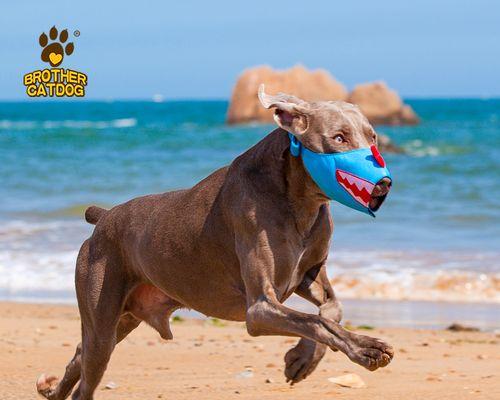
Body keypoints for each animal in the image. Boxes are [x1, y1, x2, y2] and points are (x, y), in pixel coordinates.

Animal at [36, 85, 394, 400]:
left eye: (373, 137)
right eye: (339, 138)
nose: (384, 184)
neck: (297, 198)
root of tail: (104, 217)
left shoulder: (307, 273)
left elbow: (331, 310)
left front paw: (301, 360)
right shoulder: (259, 308)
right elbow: (315, 321)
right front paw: (367, 348)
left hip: (124, 317)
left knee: (81, 354)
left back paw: (51, 389)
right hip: (101, 306)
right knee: (88, 374)